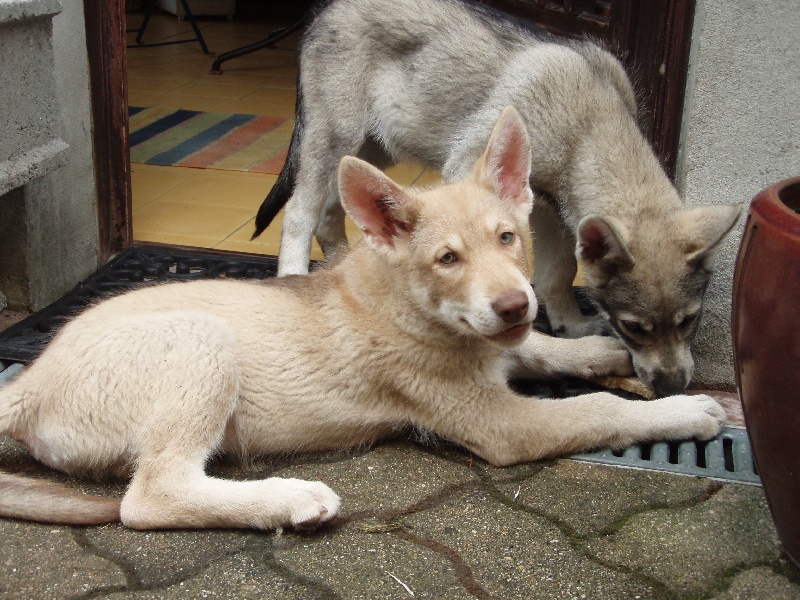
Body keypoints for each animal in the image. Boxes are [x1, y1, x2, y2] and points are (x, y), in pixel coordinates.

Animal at [252, 0, 744, 396]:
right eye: (632, 327)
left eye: (689, 321)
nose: (672, 388)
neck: (588, 124)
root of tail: (324, 11)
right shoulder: (477, 169)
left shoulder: (551, 208)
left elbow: (557, 272)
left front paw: (568, 324)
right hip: (334, 134)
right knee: (300, 211)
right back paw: (293, 274)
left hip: (374, 148)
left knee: (331, 210)